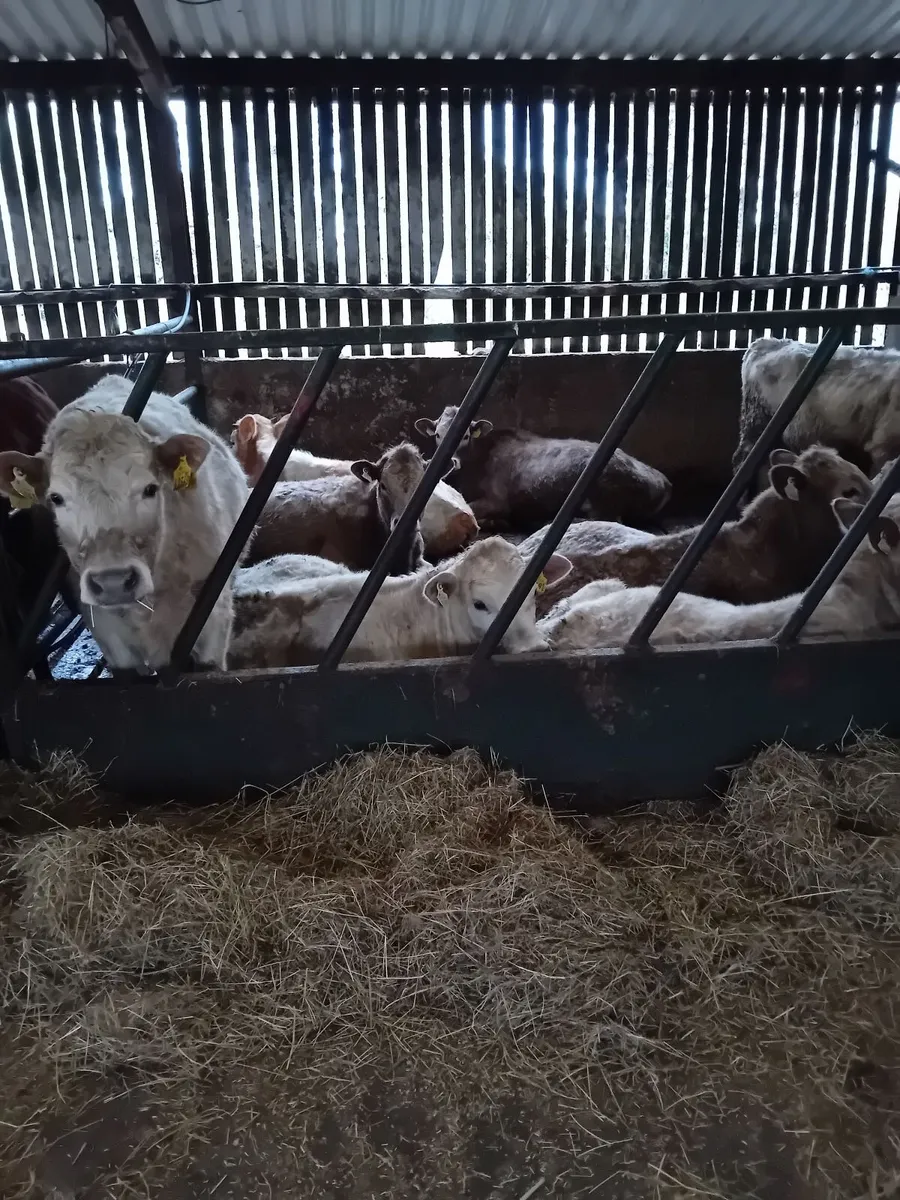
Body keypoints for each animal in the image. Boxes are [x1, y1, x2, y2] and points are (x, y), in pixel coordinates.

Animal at [415, 405, 672, 531]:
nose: (451, 461)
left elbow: (472, 510)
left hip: (602, 496)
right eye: (437, 435)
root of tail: (663, 481)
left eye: (466, 435)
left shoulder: (498, 500)